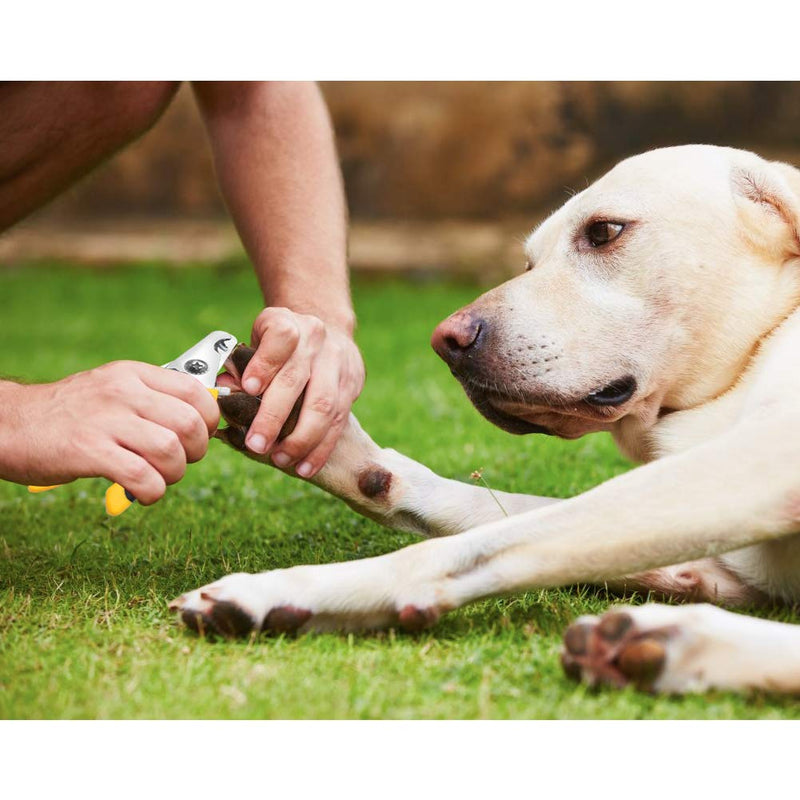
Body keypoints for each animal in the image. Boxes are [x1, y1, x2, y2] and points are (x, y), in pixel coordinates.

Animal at [170, 147, 800, 696]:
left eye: (604, 232)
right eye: (528, 262)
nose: (446, 342)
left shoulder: (755, 468)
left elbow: (467, 548)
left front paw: (283, 588)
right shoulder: (733, 565)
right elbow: (485, 512)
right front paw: (338, 450)